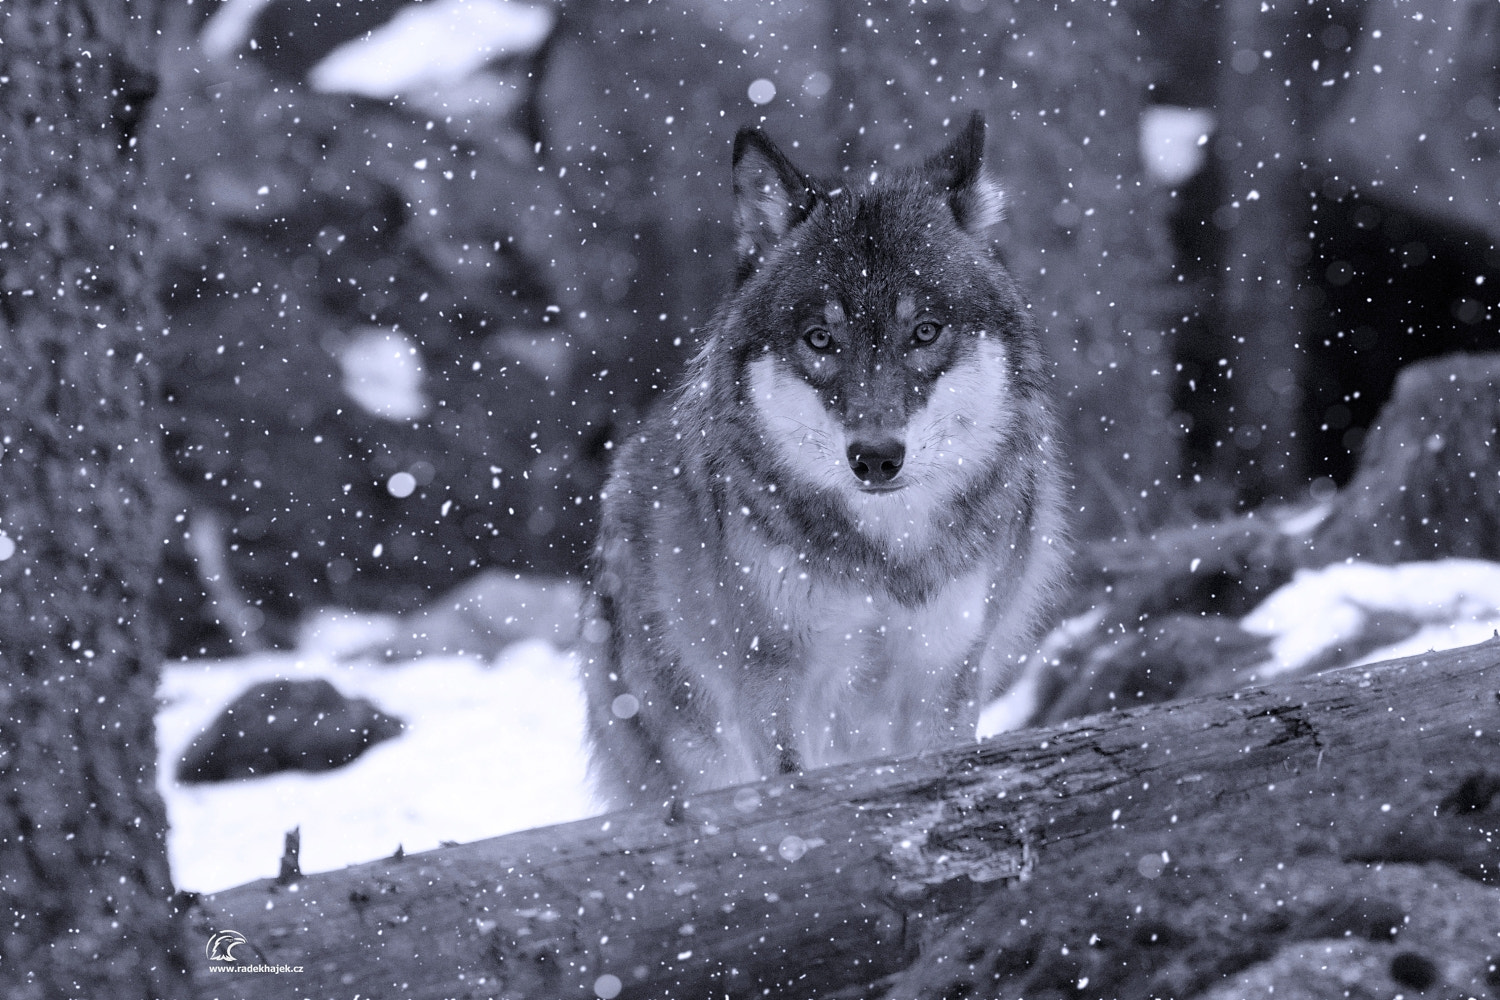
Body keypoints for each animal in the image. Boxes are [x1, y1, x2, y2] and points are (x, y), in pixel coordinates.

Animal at [580, 113, 1068, 809]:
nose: (876, 458)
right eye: (820, 339)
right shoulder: (771, 680)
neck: (886, 557)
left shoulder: (945, 674)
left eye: (924, 331)